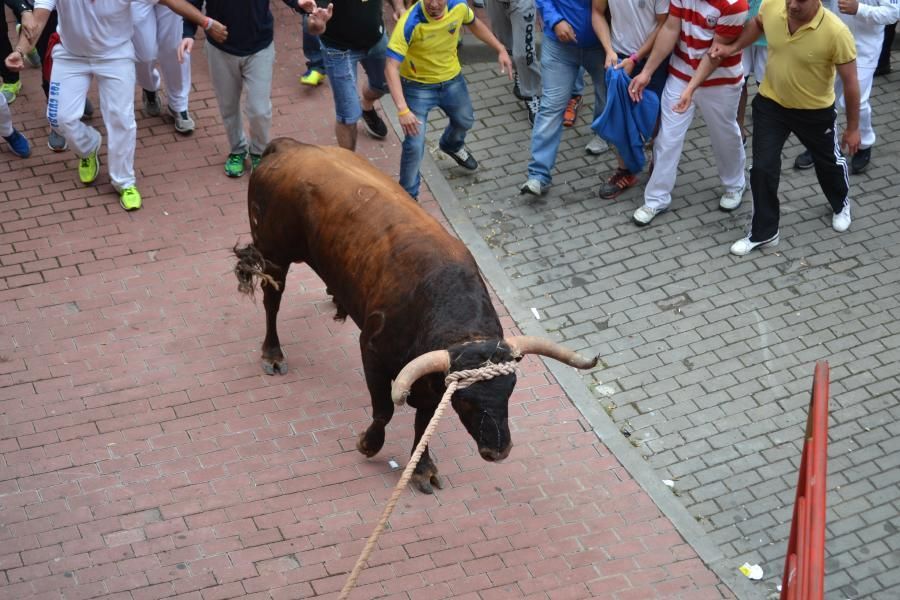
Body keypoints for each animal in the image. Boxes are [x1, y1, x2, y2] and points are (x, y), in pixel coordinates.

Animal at [236, 139, 596, 492]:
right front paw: (369, 444)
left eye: (510, 389)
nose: (499, 451)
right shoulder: (372, 351)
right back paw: (273, 354)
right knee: (272, 302)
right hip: (274, 253)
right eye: (466, 401)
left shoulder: (433, 382)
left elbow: (423, 423)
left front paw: (422, 468)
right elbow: (384, 409)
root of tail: (290, 148)